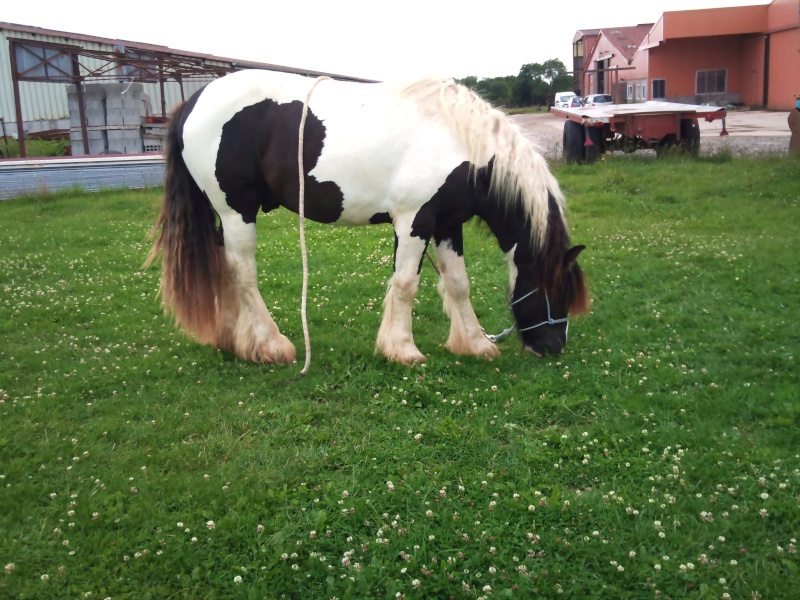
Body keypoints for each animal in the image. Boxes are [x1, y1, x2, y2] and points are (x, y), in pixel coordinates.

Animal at [147, 68, 592, 364]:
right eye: (556, 290)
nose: (553, 347)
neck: (458, 141)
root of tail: (192, 103)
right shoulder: (414, 222)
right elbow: (406, 285)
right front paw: (403, 349)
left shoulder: (448, 224)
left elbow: (459, 284)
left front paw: (476, 344)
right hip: (236, 210)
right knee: (243, 274)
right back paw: (272, 346)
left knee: (224, 270)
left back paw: (233, 341)